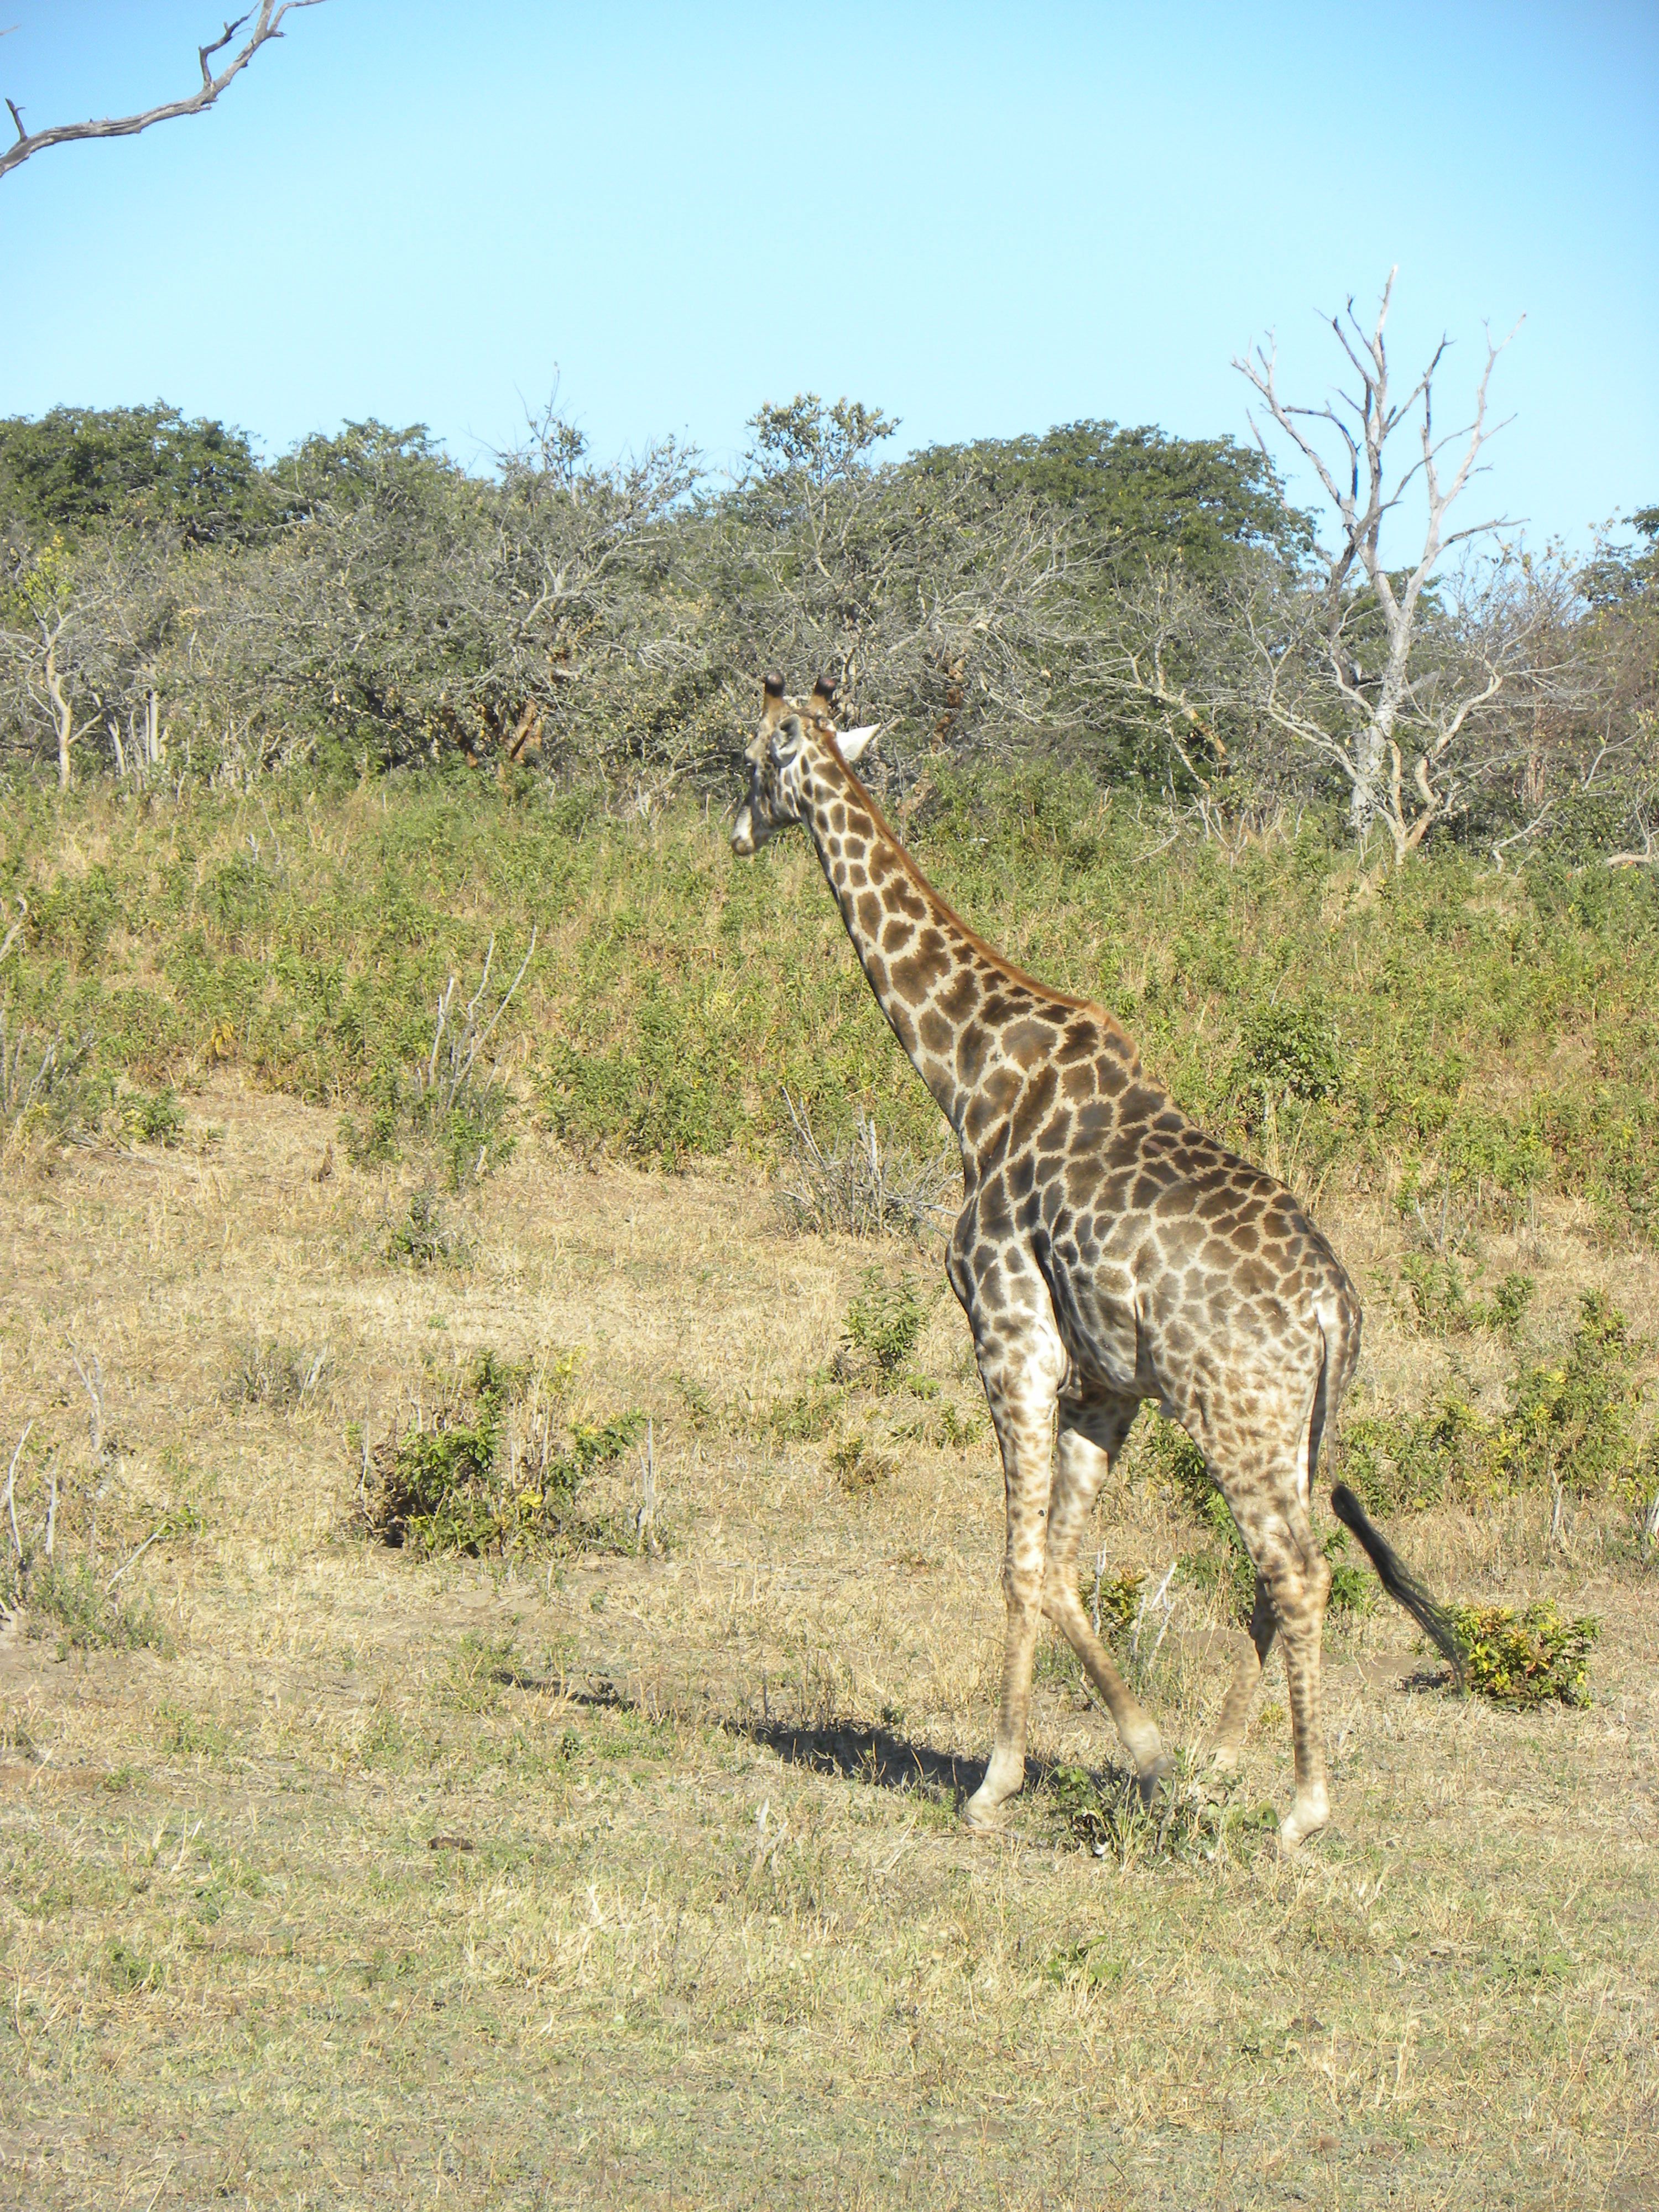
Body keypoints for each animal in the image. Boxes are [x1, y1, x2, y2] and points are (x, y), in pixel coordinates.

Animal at [731, 677, 1464, 1855]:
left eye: (754, 758)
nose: (740, 831)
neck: (971, 1079)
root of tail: (1332, 1311)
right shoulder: (1105, 1385)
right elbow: (1065, 1566)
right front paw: (1152, 1754)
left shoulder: (1009, 1334)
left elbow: (1020, 1561)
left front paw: (997, 1780)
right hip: (1304, 1427)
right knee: (1273, 1578)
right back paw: (1221, 1765)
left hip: (1234, 1415)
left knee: (1297, 1573)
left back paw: (1300, 1808)